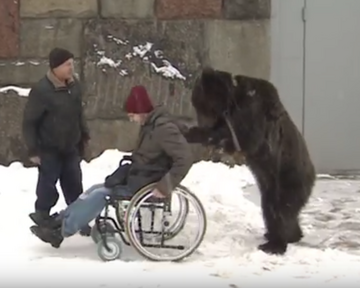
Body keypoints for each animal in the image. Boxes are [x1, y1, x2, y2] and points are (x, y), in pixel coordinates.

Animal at [184, 67, 316, 254]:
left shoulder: (254, 111)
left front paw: (202, 135)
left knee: (283, 209)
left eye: (200, 105)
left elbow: (246, 137)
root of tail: (313, 173)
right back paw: (284, 235)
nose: (202, 122)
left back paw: (276, 244)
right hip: (269, 187)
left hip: (289, 177)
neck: (233, 101)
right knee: (270, 209)